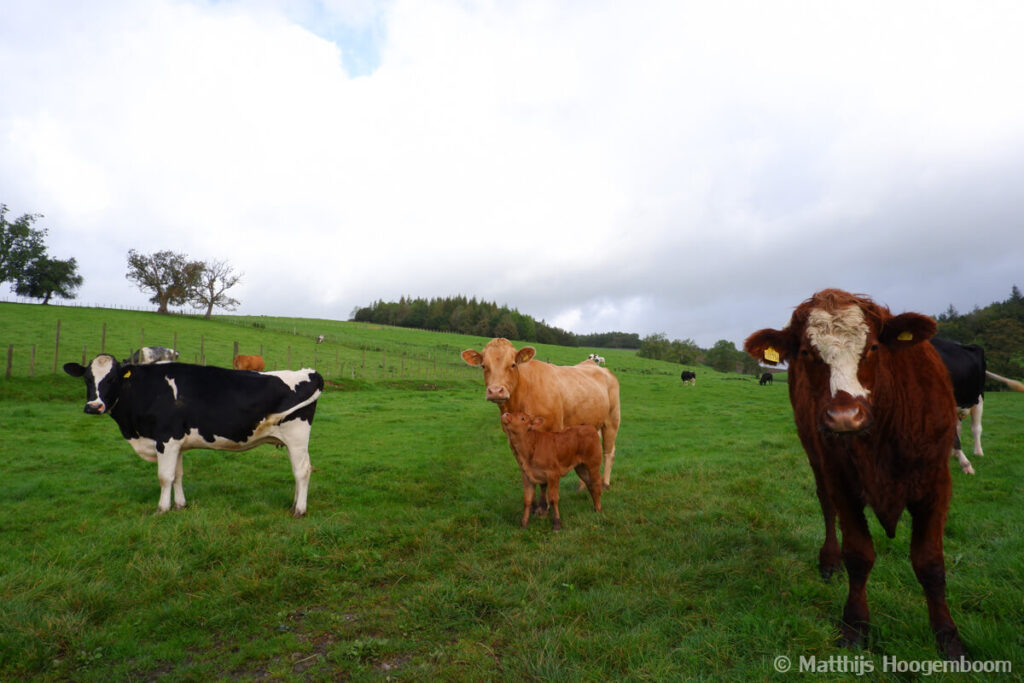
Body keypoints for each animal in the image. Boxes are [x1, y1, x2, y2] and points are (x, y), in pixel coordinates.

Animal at [63, 354, 323, 517]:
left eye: (112, 378)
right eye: (87, 378)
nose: (94, 406)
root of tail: (309, 372)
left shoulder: (166, 438)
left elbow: (164, 477)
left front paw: (161, 509)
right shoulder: (176, 442)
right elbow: (177, 475)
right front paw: (180, 505)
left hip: (297, 436)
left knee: (302, 471)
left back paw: (299, 510)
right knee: (301, 470)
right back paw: (293, 505)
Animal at [461, 338, 620, 491]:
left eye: (513, 364)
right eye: (483, 365)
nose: (495, 391)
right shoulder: (513, 442)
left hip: (612, 420)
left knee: (609, 452)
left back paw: (605, 483)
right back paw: (582, 486)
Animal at [744, 288, 967, 659]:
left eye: (874, 347)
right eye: (806, 352)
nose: (845, 416)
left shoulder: (936, 484)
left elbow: (930, 562)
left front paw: (948, 636)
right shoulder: (841, 482)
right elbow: (859, 555)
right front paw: (855, 625)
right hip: (816, 458)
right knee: (825, 506)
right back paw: (829, 559)